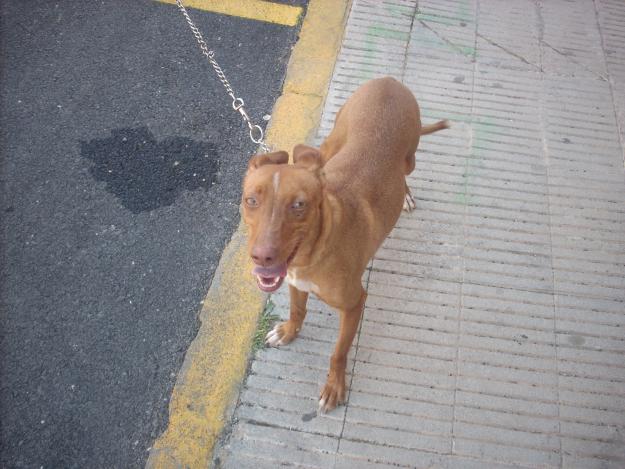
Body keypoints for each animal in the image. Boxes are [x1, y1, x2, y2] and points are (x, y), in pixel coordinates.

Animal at [240, 77, 448, 414]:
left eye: (299, 205)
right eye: (251, 200)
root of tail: (389, 80)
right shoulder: (295, 282)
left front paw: (334, 387)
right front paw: (288, 331)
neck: (313, 251)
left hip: (409, 157)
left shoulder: (354, 304)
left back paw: (405, 195)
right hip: (328, 146)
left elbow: (338, 352)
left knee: (405, 173)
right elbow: (298, 310)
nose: (262, 257)